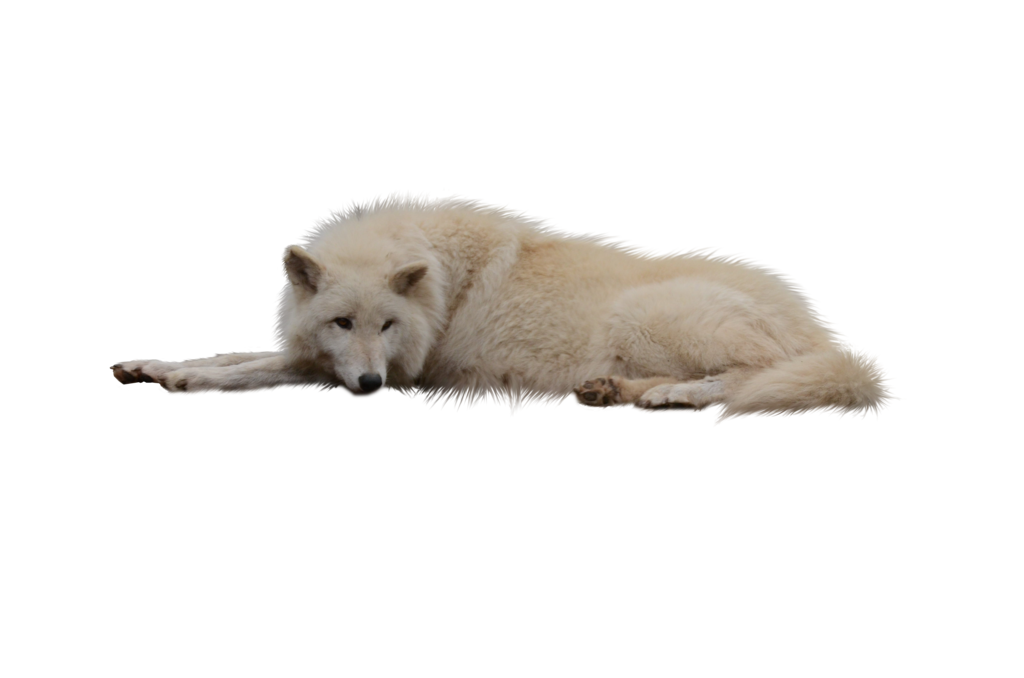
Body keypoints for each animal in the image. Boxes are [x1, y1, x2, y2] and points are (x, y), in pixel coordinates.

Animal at [111, 189, 907, 425]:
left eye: (387, 326)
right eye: (343, 323)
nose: (366, 385)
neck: (441, 279)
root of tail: (839, 334)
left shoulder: (398, 378)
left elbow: (253, 370)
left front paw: (183, 381)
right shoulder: (323, 353)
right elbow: (239, 351)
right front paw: (149, 365)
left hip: (647, 314)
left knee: (748, 378)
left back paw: (665, 394)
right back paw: (614, 391)